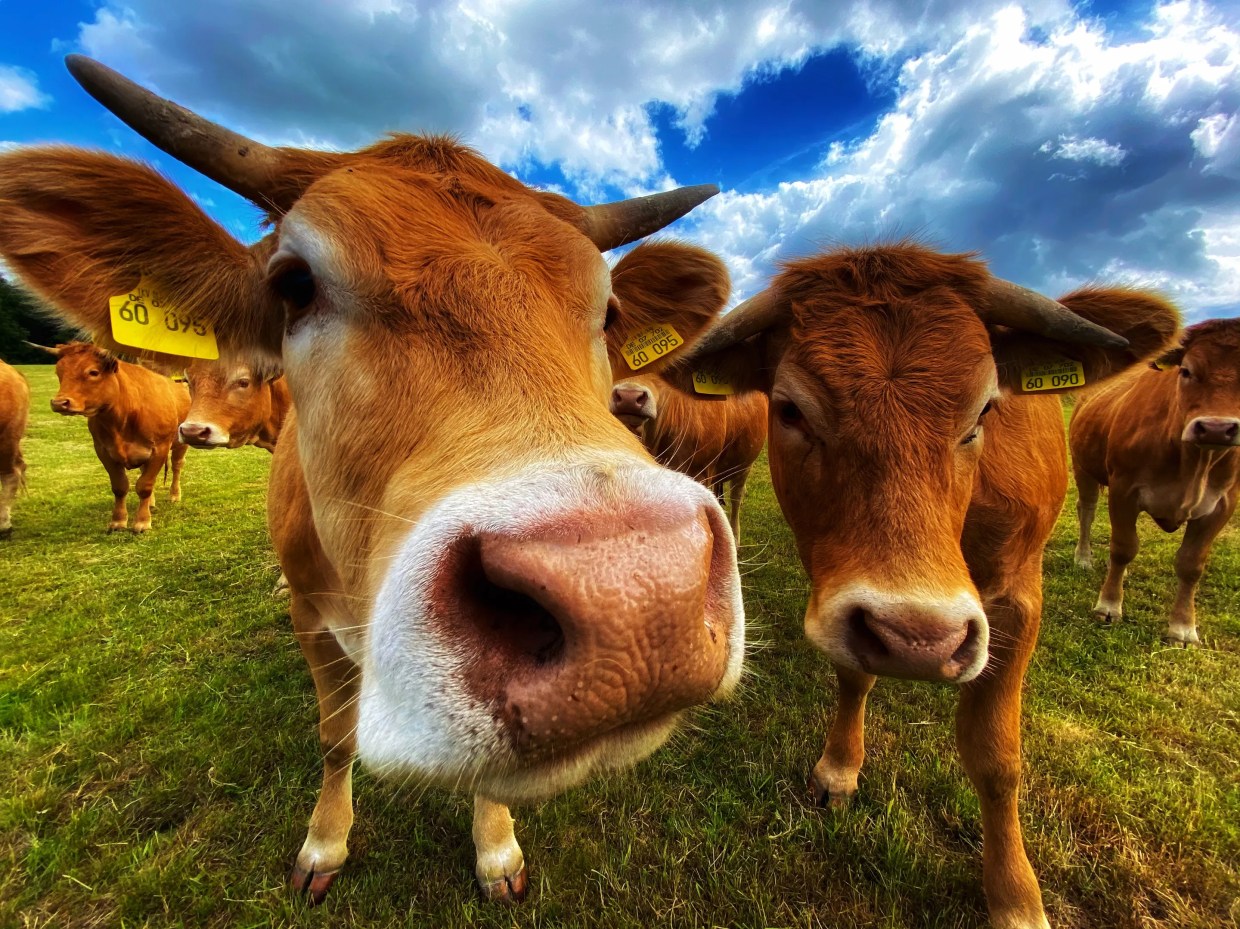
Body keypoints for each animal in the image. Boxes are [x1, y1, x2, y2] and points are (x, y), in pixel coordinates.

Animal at [37, 341, 189, 533]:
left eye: (93, 372)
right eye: (59, 371)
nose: (59, 403)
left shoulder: (159, 449)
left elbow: (145, 485)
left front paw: (142, 521)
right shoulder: (103, 451)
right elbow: (120, 486)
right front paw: (118, 521)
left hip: (180, 444)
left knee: (177, 466)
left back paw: (174, 495)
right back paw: (151, 503)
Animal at [680, 243, 1179, 929]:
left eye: (986, 409)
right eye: (790, 409)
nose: (919, 637)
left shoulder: (1018, 599)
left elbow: (996, 755)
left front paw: (1016, 895)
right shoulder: (839, 594)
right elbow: (854, 676)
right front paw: (839, 770)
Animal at [1070, 318, 1240, 646]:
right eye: (1186, 371)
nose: (1217, 428)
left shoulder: (1222, 505)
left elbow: (1191, 565)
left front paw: (1183, 627)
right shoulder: (1123, 489)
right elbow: (1123, 547)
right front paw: (1108, 606)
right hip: (1083, 467)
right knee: (1087, 511)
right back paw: (1083, 558)